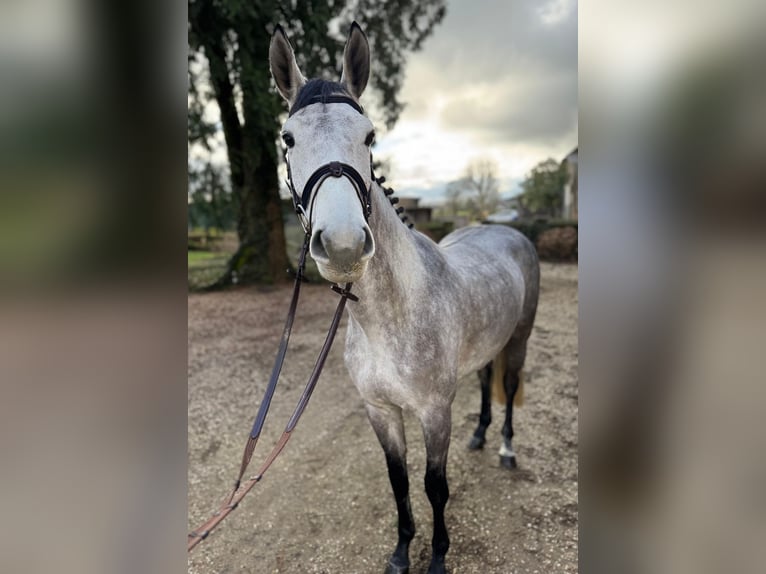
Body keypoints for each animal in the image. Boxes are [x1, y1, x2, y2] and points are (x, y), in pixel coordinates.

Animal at [270, 21, 540, 574]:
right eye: (288, 138)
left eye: (370, 135)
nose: (344, 245)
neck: (389, 318)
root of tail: (507, 231)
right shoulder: (380, 410)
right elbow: (398, 482)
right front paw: (400, 553)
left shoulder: (435, 412)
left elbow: (435, 486)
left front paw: (436, 558)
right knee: (486, 381)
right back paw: (480, 436)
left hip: (519, 341)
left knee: (507, 385)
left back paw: (504, 448)